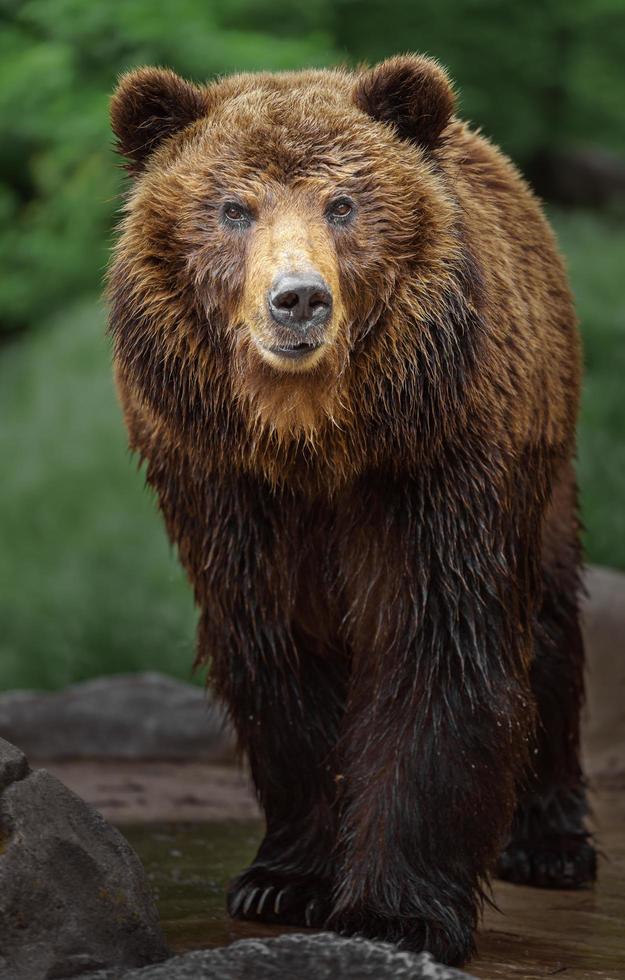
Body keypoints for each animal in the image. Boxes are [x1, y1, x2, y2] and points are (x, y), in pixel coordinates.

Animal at [108, 55, 596, 964]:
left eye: (341, 203)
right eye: (233, 208)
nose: (297, 299)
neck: (315, 440)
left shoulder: (435, 464)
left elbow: (436, 646)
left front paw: (397, 911)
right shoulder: (226, 487)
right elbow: (279, 657)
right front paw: (283, 881)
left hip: (543, 441)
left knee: (548, 625)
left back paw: (551, 843)